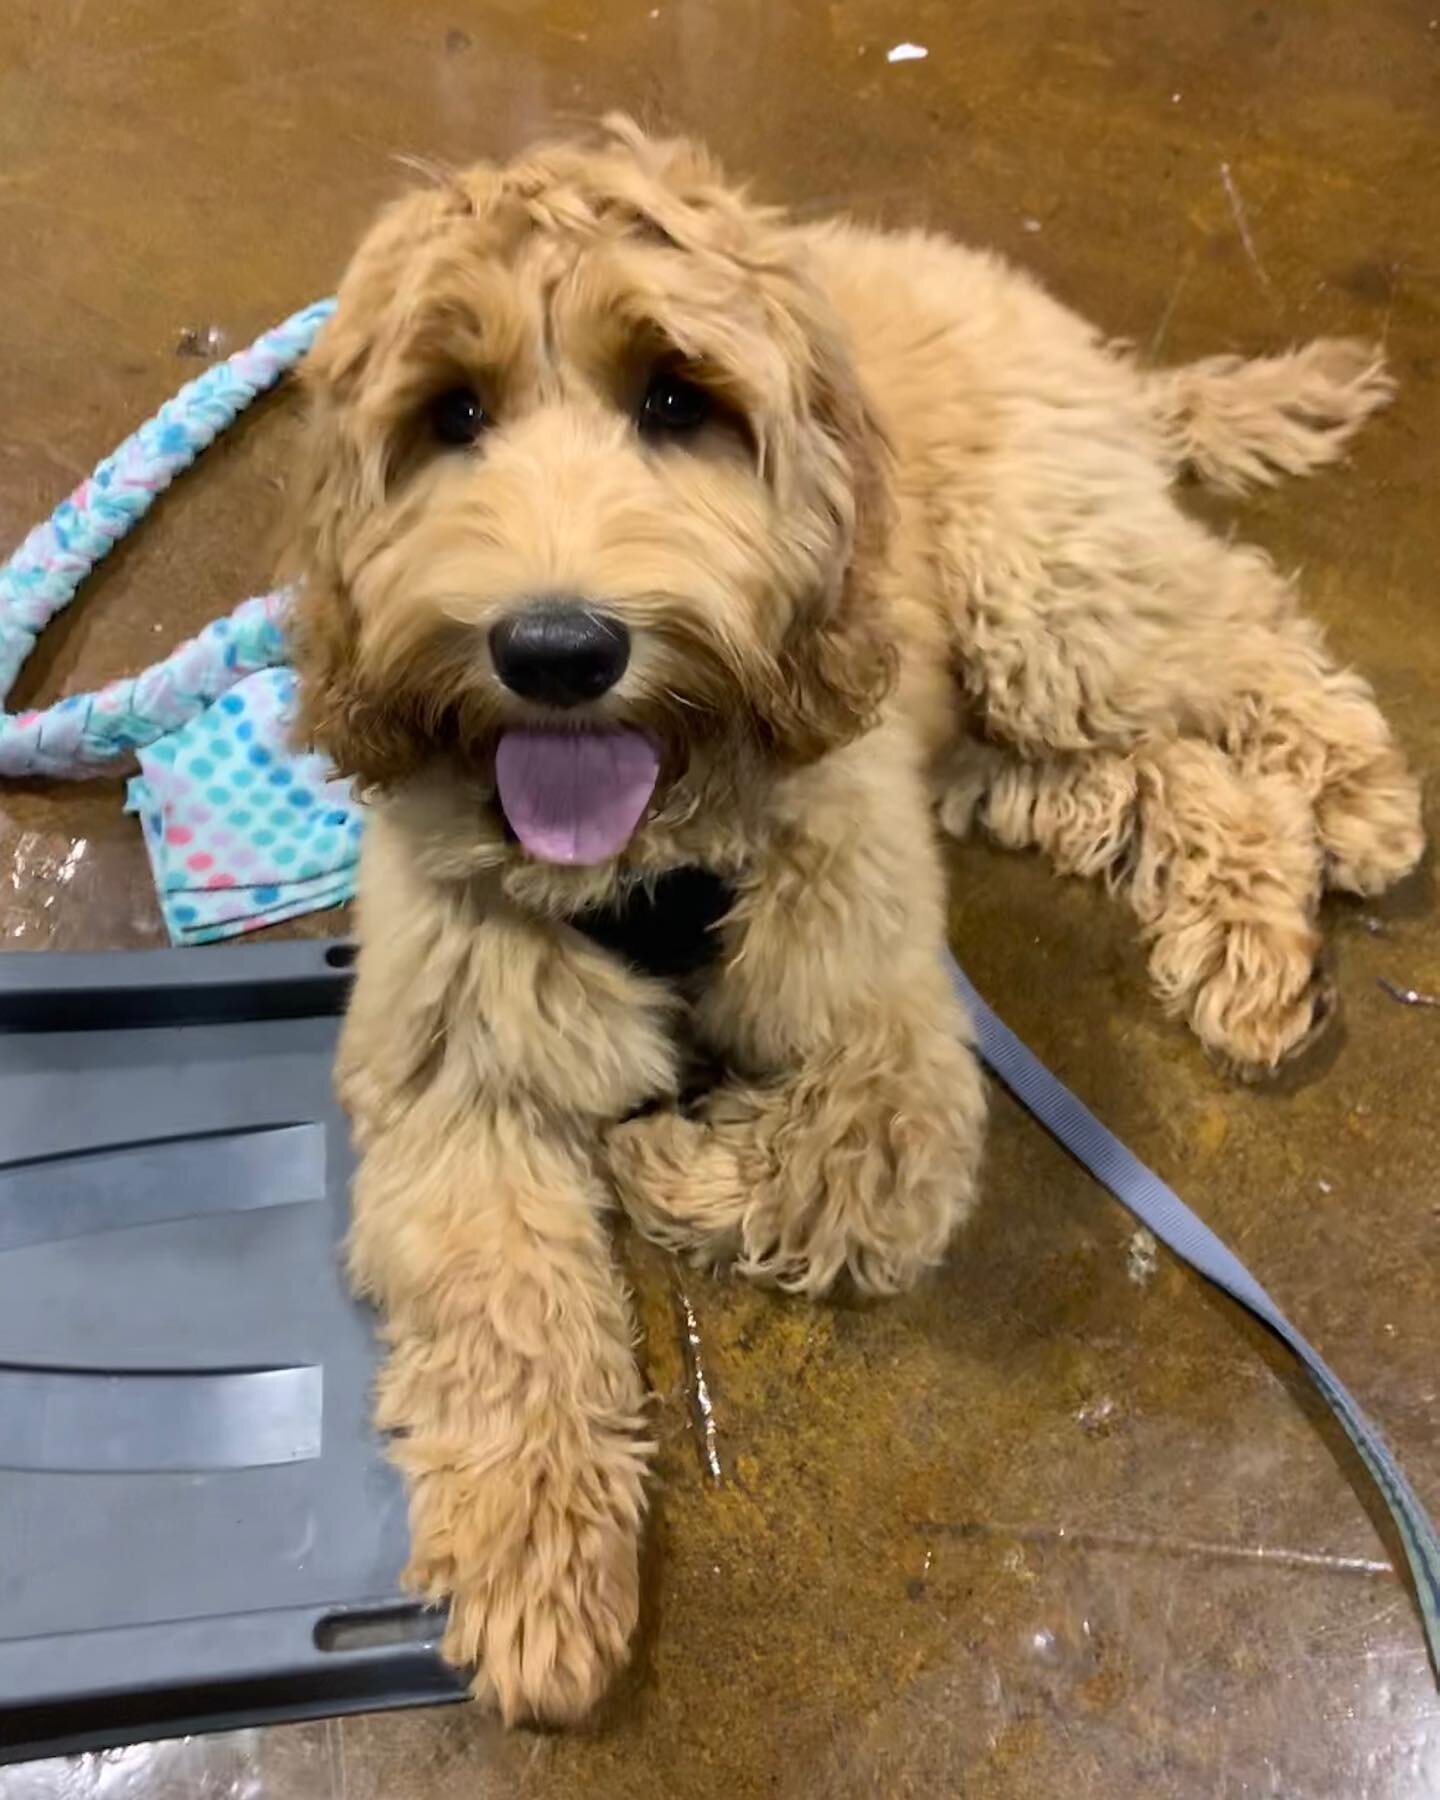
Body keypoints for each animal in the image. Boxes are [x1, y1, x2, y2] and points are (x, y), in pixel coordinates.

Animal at [286, 119, 1425, 1720]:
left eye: (677, 399)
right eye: (451, 414)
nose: (557, 649)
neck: (646, 848)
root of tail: (1063, 331)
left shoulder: (884, 1015)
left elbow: (856, 1184)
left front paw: (665, 1165)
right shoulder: (458, 1073)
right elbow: (498, 1311)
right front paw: (532, 1572)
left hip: (1044, 601)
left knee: (1243, 633)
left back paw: (1359, 795)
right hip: (990, 737)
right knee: (1181, 782)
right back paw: (1248, 939)